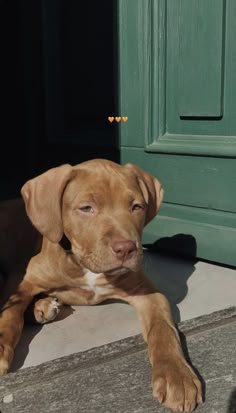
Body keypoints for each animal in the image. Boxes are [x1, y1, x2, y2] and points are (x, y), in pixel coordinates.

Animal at [0, 159, 203, 410]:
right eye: (86, 208)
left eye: (136, 206)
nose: (126, 249)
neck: (84, 265)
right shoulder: (21, 279)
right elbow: (9, 316)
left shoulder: (149, 294)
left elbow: (163, 330)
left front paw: (176, 375)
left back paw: (43, 307)